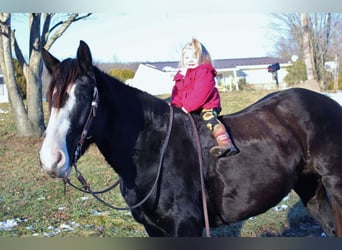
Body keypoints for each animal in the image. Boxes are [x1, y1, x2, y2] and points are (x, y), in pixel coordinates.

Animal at [38, 40, 342, 236]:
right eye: (50, 97)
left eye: (83, 95)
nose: (52, 160)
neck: (153, 151)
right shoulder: (155, 230)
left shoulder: (186, 227)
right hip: (309, 186)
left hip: (335, 184)